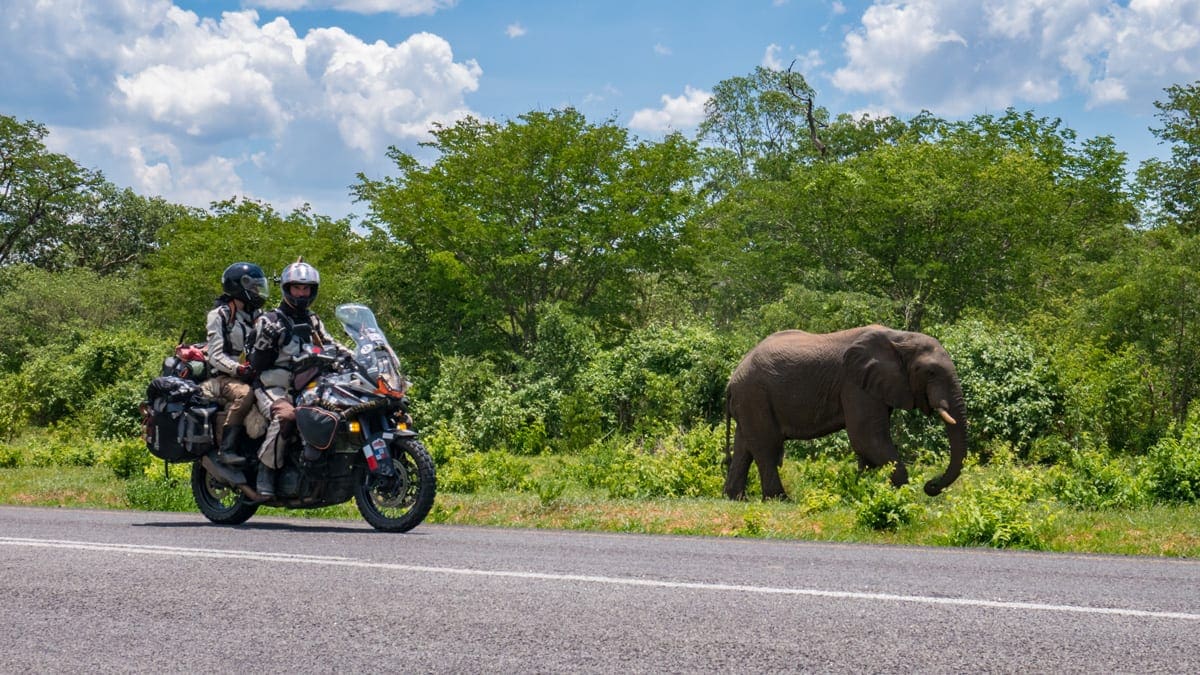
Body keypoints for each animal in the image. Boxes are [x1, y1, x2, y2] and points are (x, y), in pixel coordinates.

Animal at [720, 324, 964, 502]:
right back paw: (780, 500)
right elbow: (866, 438)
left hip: (749, 401)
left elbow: (868, 443)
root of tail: (731, 380)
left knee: (744, 448)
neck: (900, 337)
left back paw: (735, 498)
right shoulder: (854, 384)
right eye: (931, 372)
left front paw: (865, 488)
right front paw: (902, 496)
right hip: (755, 396)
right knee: (766, 448)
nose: (931, 485)